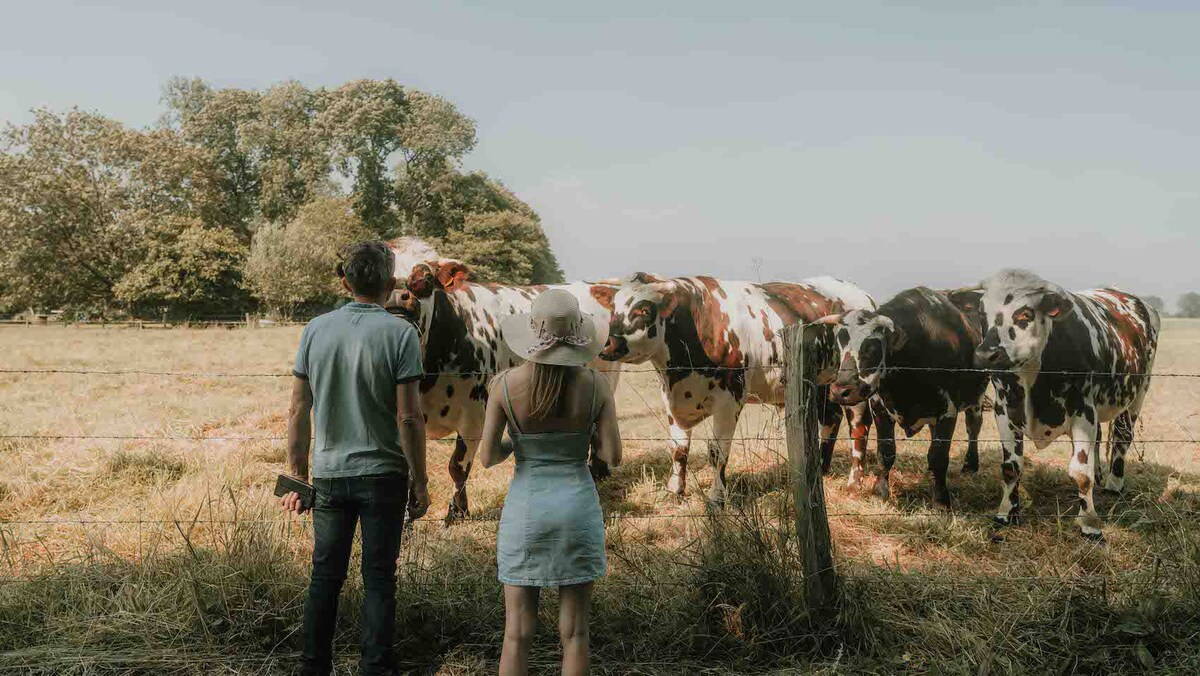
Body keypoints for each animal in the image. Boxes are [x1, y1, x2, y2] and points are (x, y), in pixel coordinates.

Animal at [384, 259, 624, 523]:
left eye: (425, 279)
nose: (398, 297)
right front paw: (408, 518)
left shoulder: (474, 419)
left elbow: (457, 467)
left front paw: (456, 514)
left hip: (605, 380)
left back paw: (597, 472)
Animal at [600, 272, 883, 504]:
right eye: (613, 309)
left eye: (644, 309)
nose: (609, 343)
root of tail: (865, 298)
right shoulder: (671, 399)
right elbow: (678, 449)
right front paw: (674, 491)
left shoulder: (729, 399)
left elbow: (717, 452)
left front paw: (716, 498)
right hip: (824, 386)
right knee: (831, 419)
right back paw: (821, 471)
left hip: (854, 386)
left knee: (859, 428)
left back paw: (853, 484)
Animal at [820, 286, 988, 509]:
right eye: (839, 346)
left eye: (872, 348)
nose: (840, 391)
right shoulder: (879, 408)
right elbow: (886, 451)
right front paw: (880, 491)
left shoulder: (948, 410)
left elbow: (940, 456)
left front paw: (941, 500)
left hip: (977, 398)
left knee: (973, 427)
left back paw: (971, 465)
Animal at [974, 270, 1161, 540]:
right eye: (981, 313)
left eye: (1025, 314)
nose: (986, 355)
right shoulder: (1004, 411)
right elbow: (1010, 467)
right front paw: (1005, 514)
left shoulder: (1083, 412)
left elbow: (1081, 474)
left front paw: (1090, 524)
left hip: (1138, 394)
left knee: (1122, 436)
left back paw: (1114, 484)